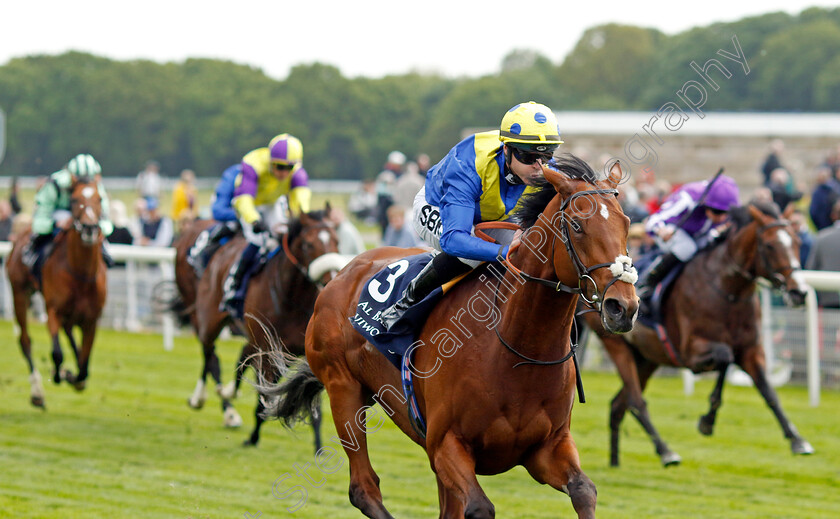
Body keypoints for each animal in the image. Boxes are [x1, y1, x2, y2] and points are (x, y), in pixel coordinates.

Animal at [6, 181, 108, 408]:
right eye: (75, 199)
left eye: (99, 199)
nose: (89, 228)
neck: (80, 273)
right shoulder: (52, 309)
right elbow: (57, 353)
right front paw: (59, 372)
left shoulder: (92, 319)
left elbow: (84, 366)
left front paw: (73, 376)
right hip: (20, 293)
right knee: (25, 340)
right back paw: (37, 392)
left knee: (69, 335)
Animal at [184, 209, 342, 448]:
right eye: (307, 244)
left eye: (336, 240)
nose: (331, 278)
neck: (292, 298)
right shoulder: (268, 351)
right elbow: (265, 397)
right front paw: (253, 437)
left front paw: (319, 447)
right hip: (210, 320)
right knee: (209, 354)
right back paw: (204, 399)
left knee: (241, 354)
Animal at [262, 157, 636, 519]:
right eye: (577, 226)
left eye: (626, 223)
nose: (623, 306)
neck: (518, 351)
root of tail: (340, 273)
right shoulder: (445, 444)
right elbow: (480, 507)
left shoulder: (546, 448)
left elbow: (584, 490)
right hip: (344, 389)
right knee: (363, 489)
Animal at [584, 199, 812, 468]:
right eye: (769, 245)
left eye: (796, 241)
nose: (799, 292)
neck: (728, 291)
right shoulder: (692, 353)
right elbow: (725, 357)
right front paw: (707, 421)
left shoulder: (751, 349)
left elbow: (769, 392)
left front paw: (797, 441)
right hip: (616, 345)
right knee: (636, 400)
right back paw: (666, 451)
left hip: (647, 358)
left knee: (618, 405)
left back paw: (615, 461)